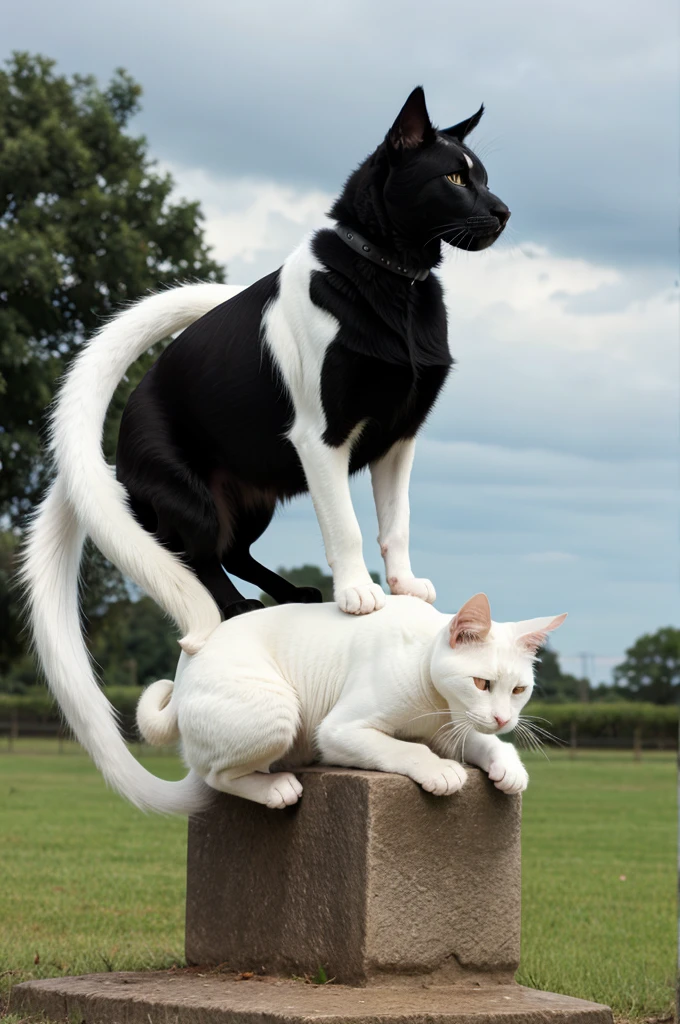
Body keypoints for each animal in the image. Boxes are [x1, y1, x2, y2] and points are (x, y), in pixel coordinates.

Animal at [137, 593, 561, 806]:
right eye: (481, 683)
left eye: (519, 691)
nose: (504, 719)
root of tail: (184, 670)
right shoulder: (338, 731)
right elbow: (407, 749)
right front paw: (441, 770)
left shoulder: (451, 729)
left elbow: (487, 743)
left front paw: (508, 767)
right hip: (278, 710)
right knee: (213, 775)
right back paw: (275, 788)